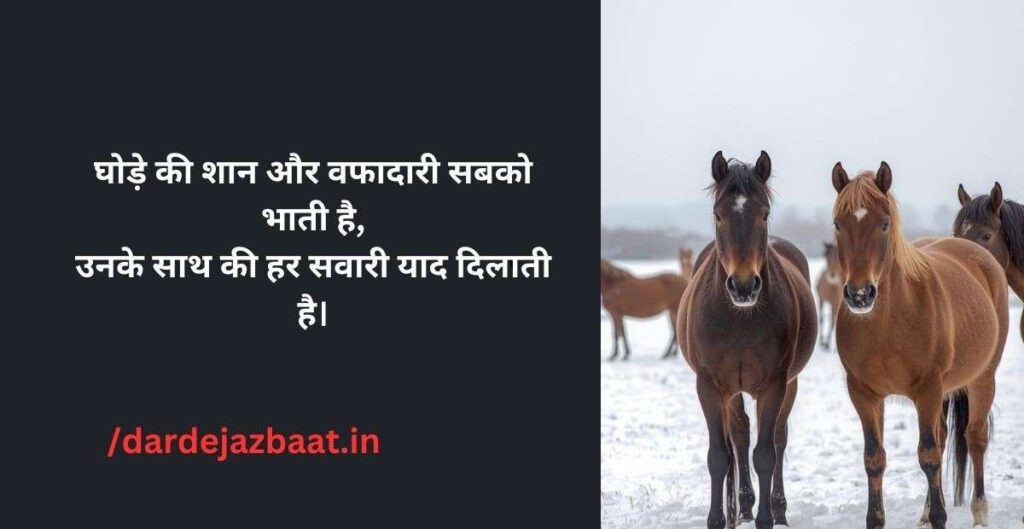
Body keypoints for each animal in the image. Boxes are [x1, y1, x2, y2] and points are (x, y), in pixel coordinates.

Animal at [678, 151, 816, 529]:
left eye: (764, 213)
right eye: (718, 214)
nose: (743, 286)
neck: (739, 318)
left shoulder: (775, 384)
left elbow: (766, 453)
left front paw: (767, 518)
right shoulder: (709, 385)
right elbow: (719, 456)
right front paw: (718, 518)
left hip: (789, 384)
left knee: (779, 439)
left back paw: (776, 509)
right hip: (732, 391)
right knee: (739, 436)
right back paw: (741, 507)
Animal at [830, 162, 1008, 528]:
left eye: (884, 224)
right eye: (838, 224)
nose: (859, 294)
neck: (888, 324)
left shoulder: (928, 389)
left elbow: (929, 456)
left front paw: (939, 517)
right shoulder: (864, 394)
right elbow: (874, 458)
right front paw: (878, 519)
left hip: (982, 379)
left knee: (975, 438)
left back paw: (979, 511)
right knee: (942, 436)